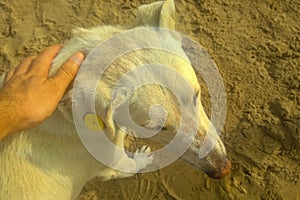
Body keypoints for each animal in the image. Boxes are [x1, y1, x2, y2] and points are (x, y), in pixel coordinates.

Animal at [0, 0, 231, 199]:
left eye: (196, 95)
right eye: (157, 127)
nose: (222, 169)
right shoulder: (111, 164)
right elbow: (129, 166)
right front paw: (143, 157)